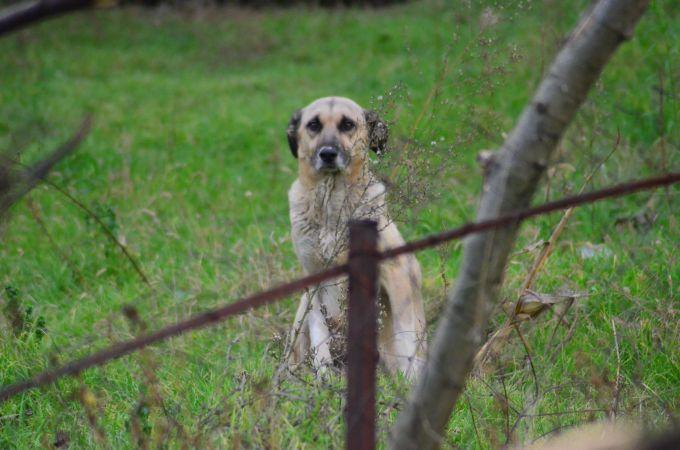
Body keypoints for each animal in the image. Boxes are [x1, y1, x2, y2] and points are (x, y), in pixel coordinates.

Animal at [286, 96, 424, 380]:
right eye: (313, 125)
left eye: (347, 124)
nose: (328, 153)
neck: (330, 208)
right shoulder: (313, 278)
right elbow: (319, 333)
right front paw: (324, 376)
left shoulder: (396, 271)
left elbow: (404, 336)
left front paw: (409, 381)